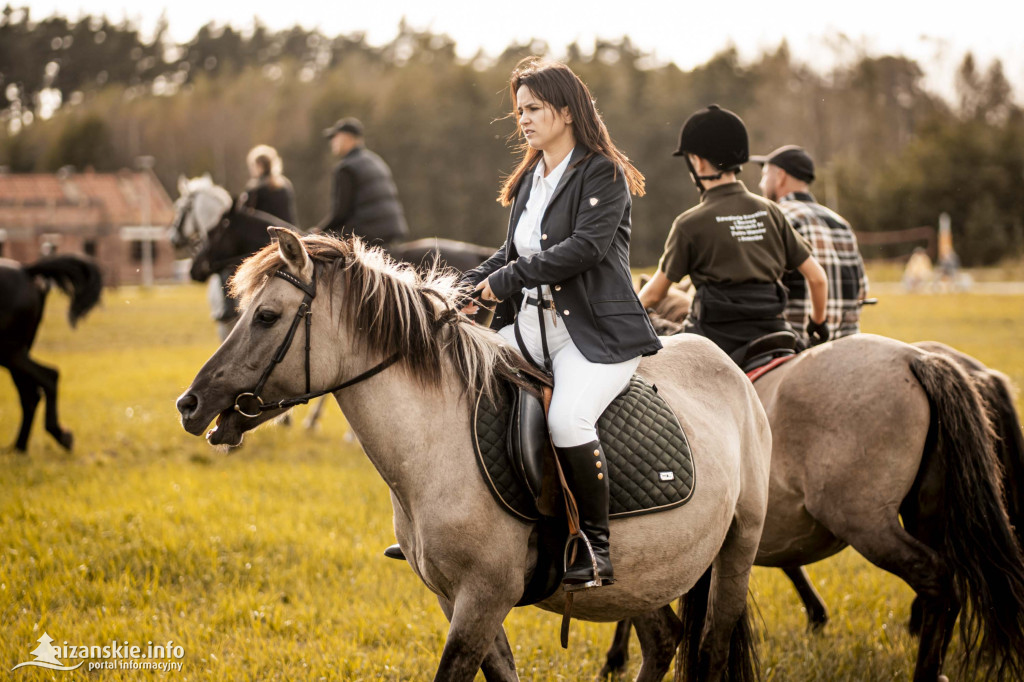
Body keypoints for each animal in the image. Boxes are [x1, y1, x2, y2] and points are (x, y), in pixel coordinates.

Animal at [0, 254, 102, 450]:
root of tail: (25, 270)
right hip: (16, 351)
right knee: (31, 394)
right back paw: (19, 447)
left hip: (9, 350)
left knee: (47, 378)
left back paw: (55, 436)